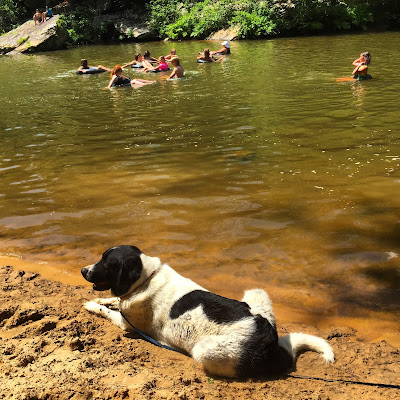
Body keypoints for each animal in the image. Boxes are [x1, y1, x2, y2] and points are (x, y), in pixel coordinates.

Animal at [82, 245, 334, 378]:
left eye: (106, 263)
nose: (83, 270)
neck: (145, 278)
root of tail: (271, 341)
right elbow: (113, 300)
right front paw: (103, 299)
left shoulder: (127, 323)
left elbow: (108, 311)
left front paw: (93, 305)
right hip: (256, 293)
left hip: (205, 349)